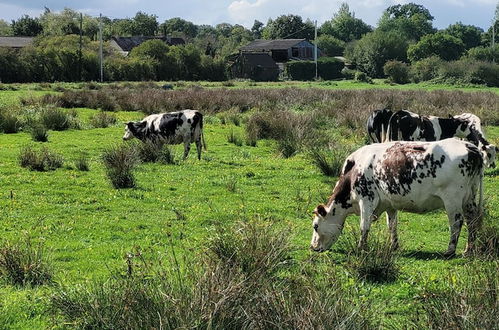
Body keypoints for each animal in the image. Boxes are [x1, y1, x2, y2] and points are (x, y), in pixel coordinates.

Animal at [312, 138, 484, 256]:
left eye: (315, 226)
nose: (312, 247)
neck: (354, 170)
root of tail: (469, 146)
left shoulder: (367, 199)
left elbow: (364, 226)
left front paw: (361, 248)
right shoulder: (390, 204)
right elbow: (392, 226)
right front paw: (393, 246)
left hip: (453, 199)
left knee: (457, 222)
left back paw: (450, 250)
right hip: (469, 198)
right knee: (472, 220)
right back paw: (468, 250)